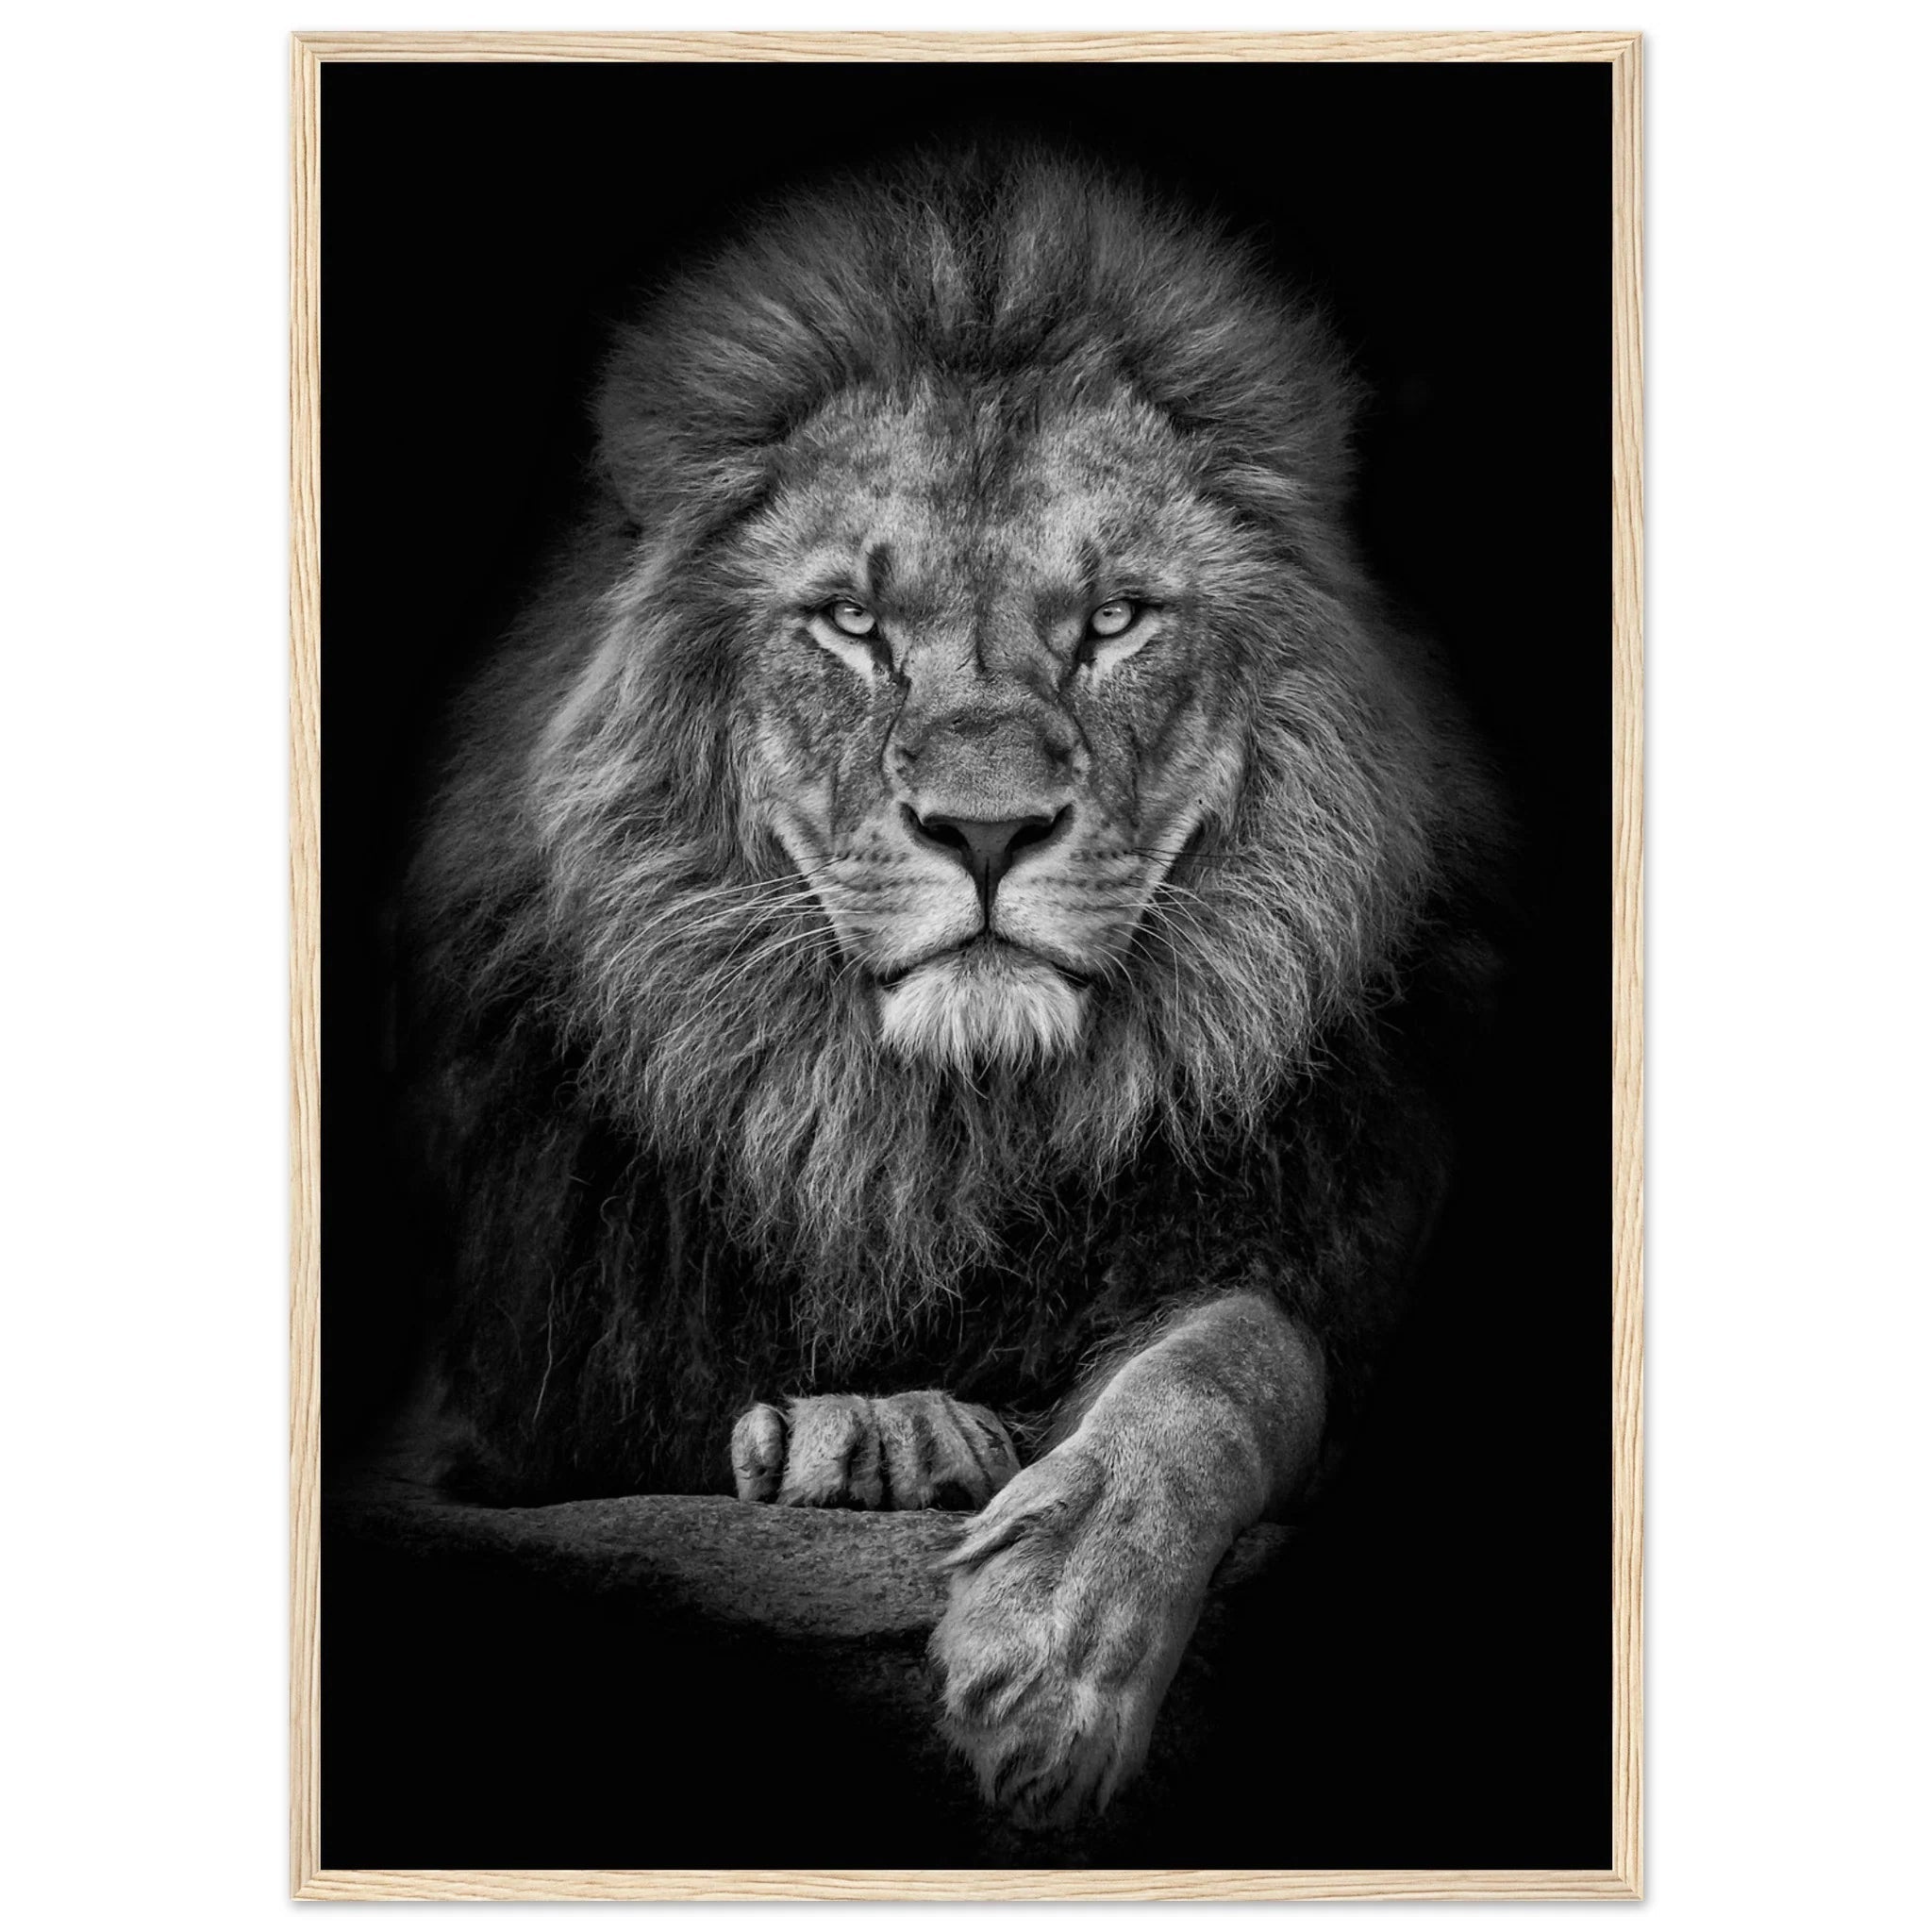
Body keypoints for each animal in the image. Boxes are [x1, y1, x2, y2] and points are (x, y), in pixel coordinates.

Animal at [396, 145, 1504, 1828]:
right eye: (854, 623)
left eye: (1112, 619)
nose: (985, 830)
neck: (932, 1138)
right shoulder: (503, 1401)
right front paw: (877, 1430)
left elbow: (1231, 1361)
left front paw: (1057, 1647)